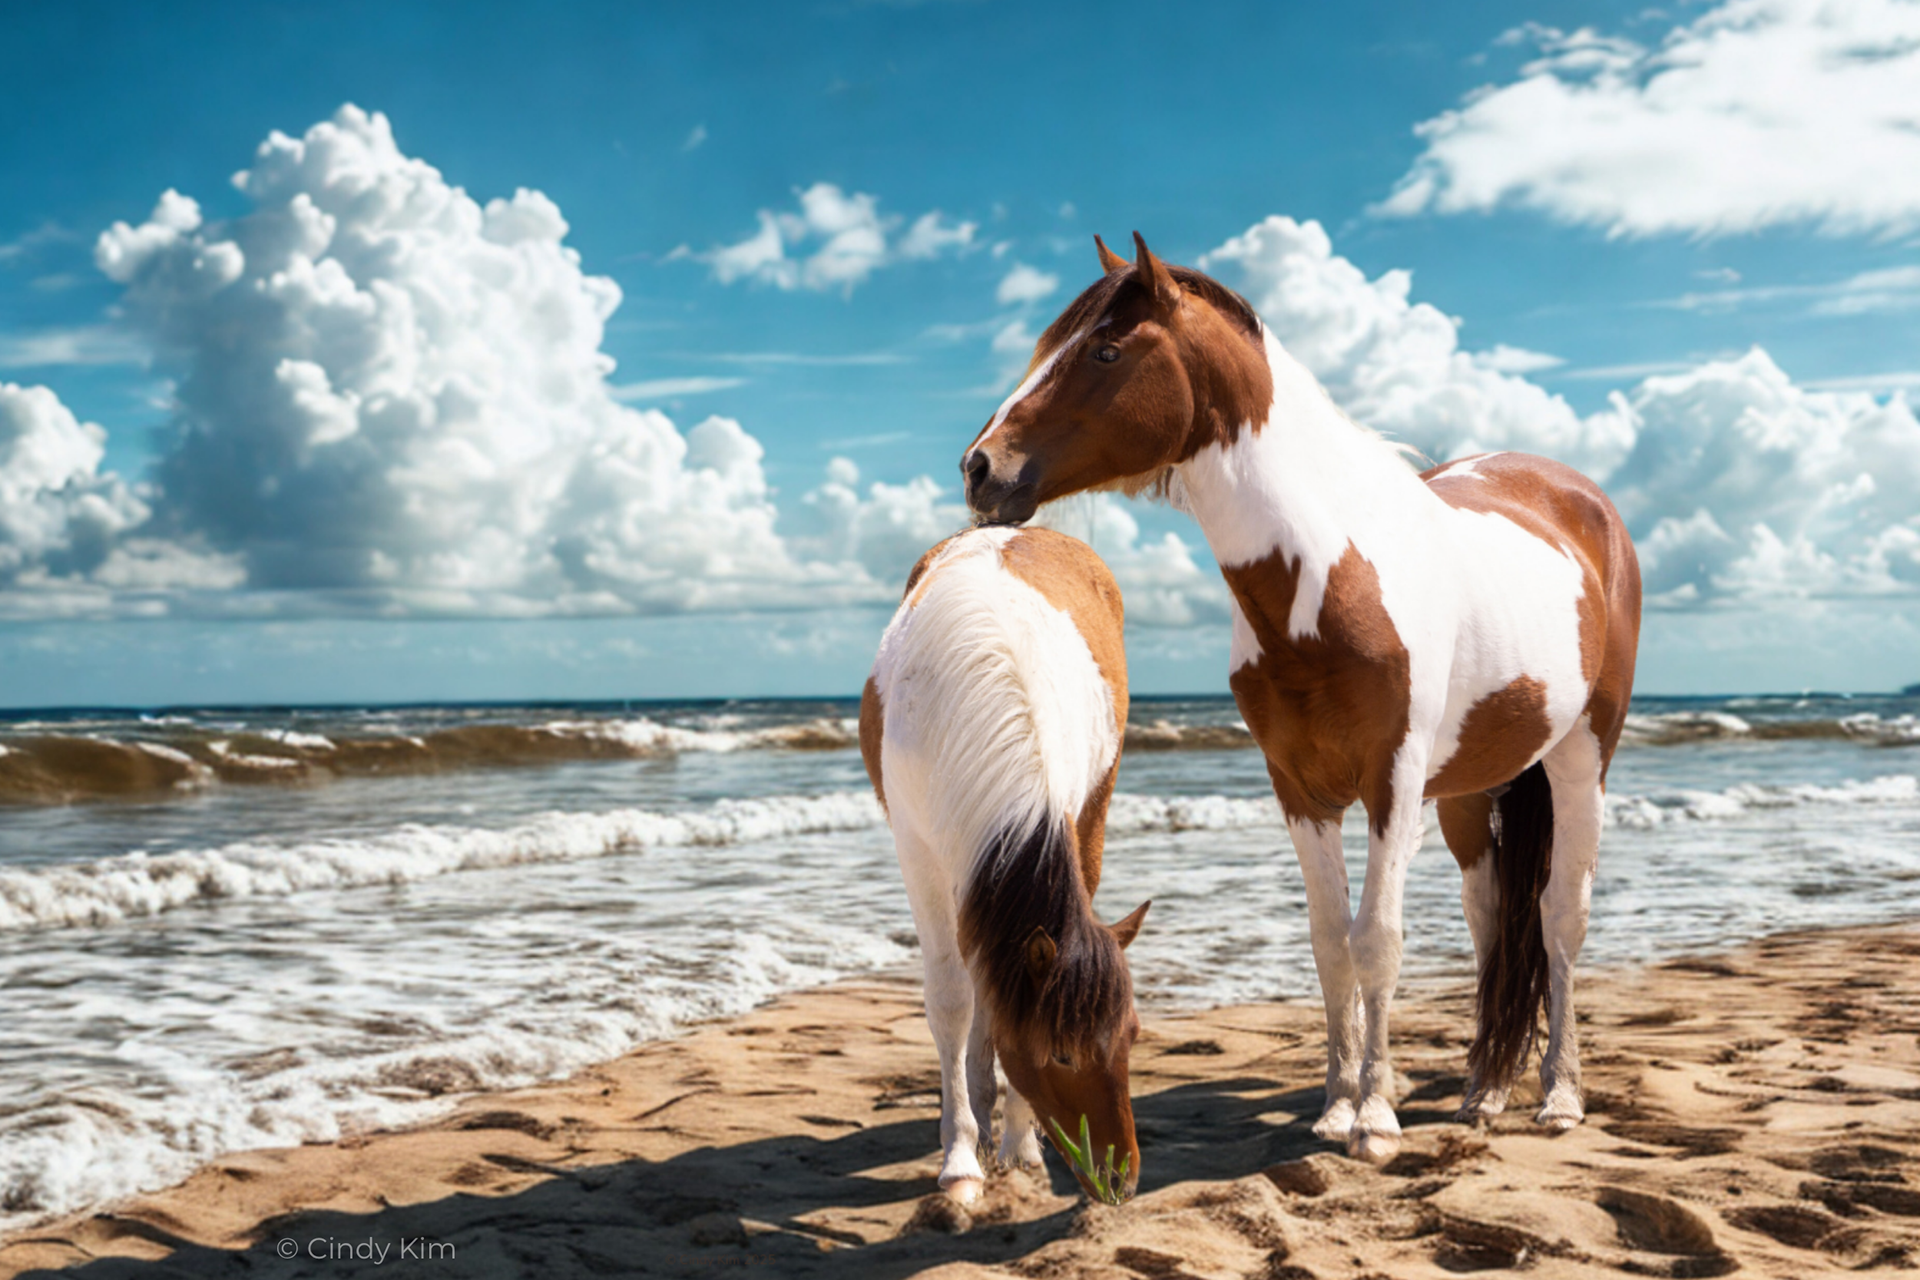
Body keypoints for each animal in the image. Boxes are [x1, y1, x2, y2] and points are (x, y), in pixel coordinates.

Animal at [860, 525, 1152, 1204]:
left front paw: (1019, 1143)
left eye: (1131, 1037)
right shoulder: (919, 855)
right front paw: (961, 1158)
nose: (1122, 1180)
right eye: (1064, 1056)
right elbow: (950, 999)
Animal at [961, 233, 1641, 1165]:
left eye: (1103, 350)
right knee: (1494, 920)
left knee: (1558, 916)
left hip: (1581, 757)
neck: (1327, 576)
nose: (980, 469)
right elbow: (1328, 943)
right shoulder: (1298, 787)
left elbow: (1377, 939)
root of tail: (1582, 500)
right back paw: (1484, 1091)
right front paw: (1334, 1107)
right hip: (1471, 788)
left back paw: (1561, 1097)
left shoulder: (1393, 781)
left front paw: (1377, 1120)